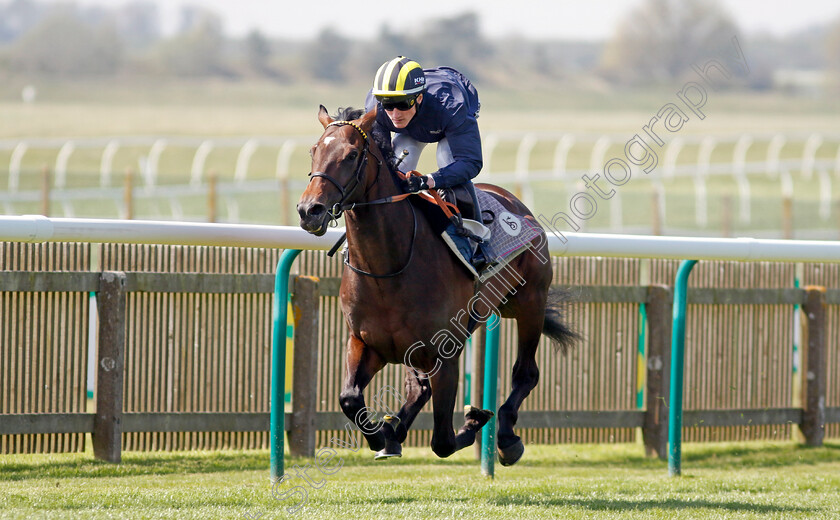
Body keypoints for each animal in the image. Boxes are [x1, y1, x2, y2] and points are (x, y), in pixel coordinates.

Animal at [296, 104, 576, 464]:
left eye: (351, 154)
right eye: (314, 151)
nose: (309, 210)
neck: (388, 268)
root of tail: (515, 203)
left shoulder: (446, 355)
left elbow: (442, 440)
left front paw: (474, 420)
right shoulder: (364, 343)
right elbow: (350, 399)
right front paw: (382, 433)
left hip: (529, 304)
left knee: (526, 373)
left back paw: (506, 437)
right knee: (418, 388)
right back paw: (394, 433)